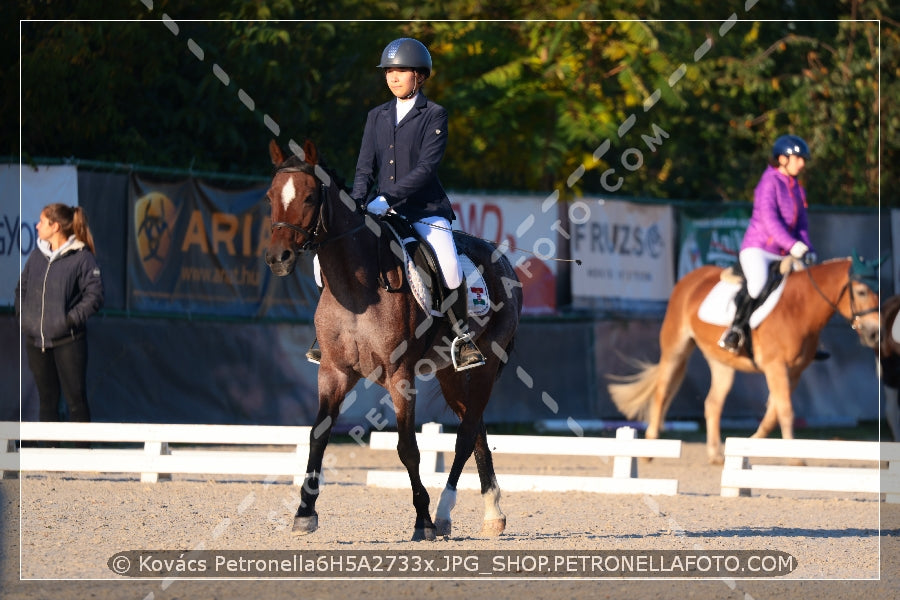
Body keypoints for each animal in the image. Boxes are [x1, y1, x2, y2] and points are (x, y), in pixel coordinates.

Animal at [262, 139, 520, 540]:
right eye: (271, 196)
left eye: (308, 197)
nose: (279, 258)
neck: (356, 289)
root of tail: (502, 258)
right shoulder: (334, 372)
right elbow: (318, 435)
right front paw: (304, 513)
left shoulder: (400, 375)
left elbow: (408, 448)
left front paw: (422, 521)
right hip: (449, 373)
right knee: (475, 427)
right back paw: (489, 512)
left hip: (485, 365)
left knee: (464, 436)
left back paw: (444, 513)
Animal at [604, 256, 880, 464]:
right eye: (861, 291)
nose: (874, 333)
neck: (800, 308)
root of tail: (691, 278)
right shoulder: (776, 367)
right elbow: (785, 411)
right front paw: (794, 458)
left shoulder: (794, 372)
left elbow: (773, 412)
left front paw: (750, 445)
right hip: (675, 347)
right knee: (662, 393)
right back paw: (648, 451)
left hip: (722, 362)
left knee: (713, 403)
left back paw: (716, 454)